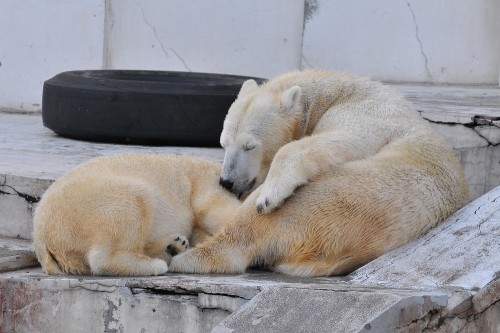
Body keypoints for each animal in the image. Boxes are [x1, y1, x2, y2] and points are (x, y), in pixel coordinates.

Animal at [32, 153, 241, 274]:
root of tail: (41, 235)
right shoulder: (206, 181)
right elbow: (220, 210)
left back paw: (173, 246)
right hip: (92, 203)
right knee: (135, 201)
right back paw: (155, 264)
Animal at [170, 70, 470, 278]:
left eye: (249, 145)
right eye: (223, 143)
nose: (228, 181)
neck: (340, 91)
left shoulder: (367, 115)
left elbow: (337, 140)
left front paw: (269, 195)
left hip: (324, 202)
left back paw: (182, 254)